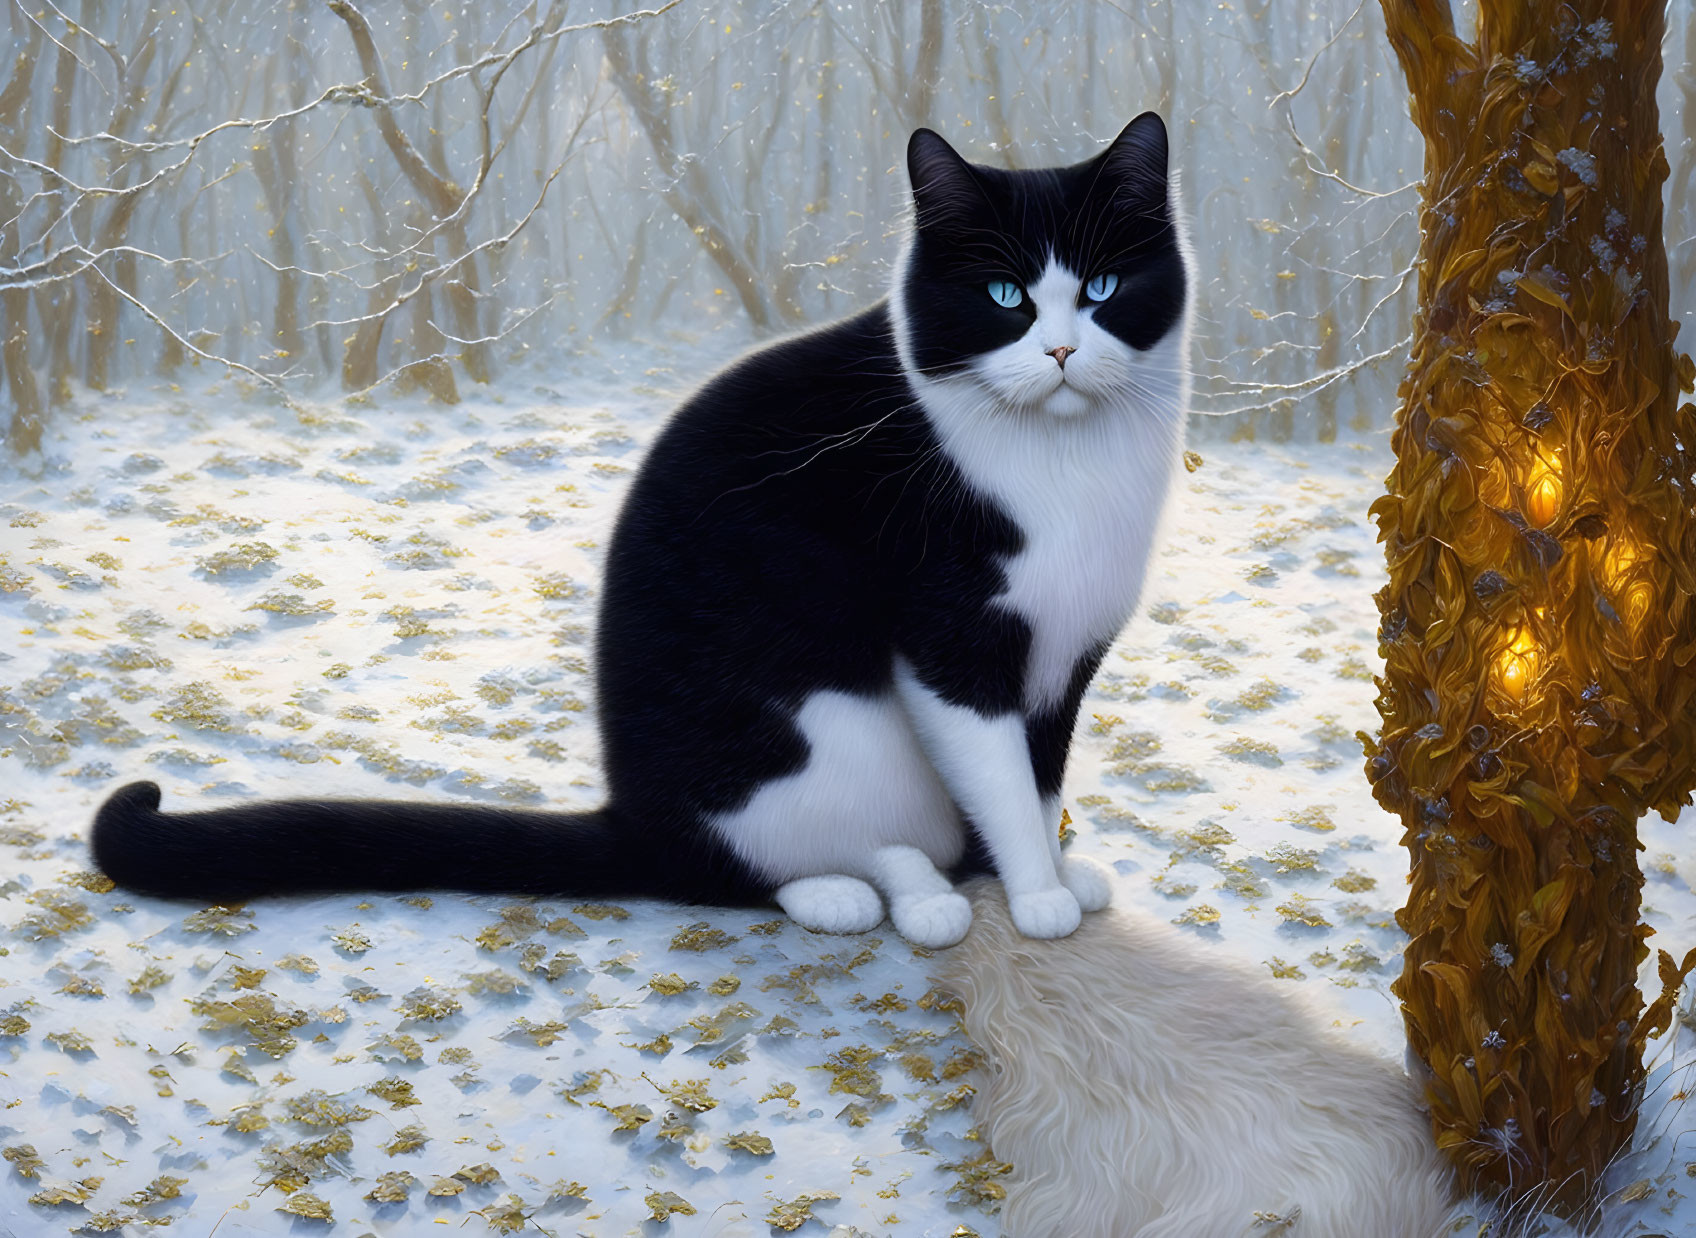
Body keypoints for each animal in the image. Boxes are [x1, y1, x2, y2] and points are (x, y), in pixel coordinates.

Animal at [86, 113, 1187, 942]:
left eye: (1102, 289)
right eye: (1003, 295)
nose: (1058, 350)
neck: (1071, 470)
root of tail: (633, 813)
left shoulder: (1068, 651)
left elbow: (1037, 777)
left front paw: (1049, 870)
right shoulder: (955, 638)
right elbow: (996, 773)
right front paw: (1037, 895)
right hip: (815, 739)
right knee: (771, 857)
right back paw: (892, 894)